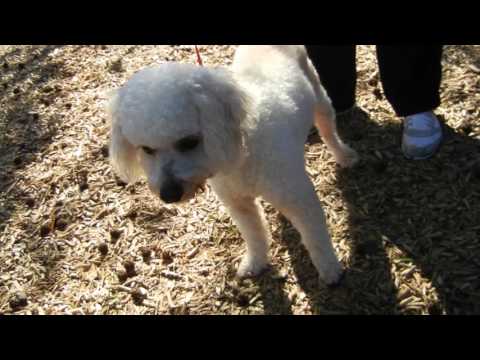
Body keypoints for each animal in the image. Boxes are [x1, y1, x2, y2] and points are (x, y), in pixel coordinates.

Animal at [108, 45, 356, 286]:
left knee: (328, 131)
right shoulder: (238, 203)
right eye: (146, 149)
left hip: (319, 99)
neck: (239, 154)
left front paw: (330, 269)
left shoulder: (299, 200)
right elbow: (254, 235)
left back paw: (345, 156)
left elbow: (316, 237)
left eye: (189, 142)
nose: (169, 195)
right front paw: (255, 263)